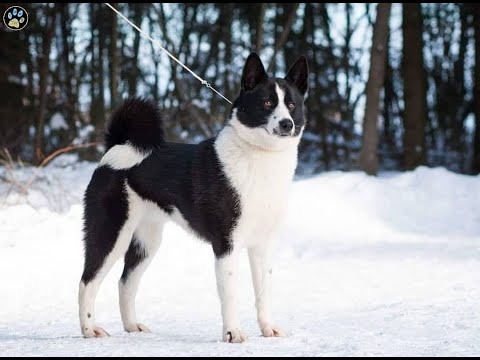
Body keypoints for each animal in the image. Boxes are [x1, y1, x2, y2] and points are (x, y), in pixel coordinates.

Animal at [79, 52, 310, 344]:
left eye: (291, 105)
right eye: (267, 103)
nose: (286, 124)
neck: (259, 157)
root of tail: (117, 147)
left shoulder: (263, 245)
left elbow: (263, 292)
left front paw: (268, 328)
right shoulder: (226, 244)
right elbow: (230, 294)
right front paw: (233, 333)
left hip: (146, 241)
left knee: (125, 282)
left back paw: (132, 326)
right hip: (111, 233)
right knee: (87, 281)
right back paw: (89, 329)